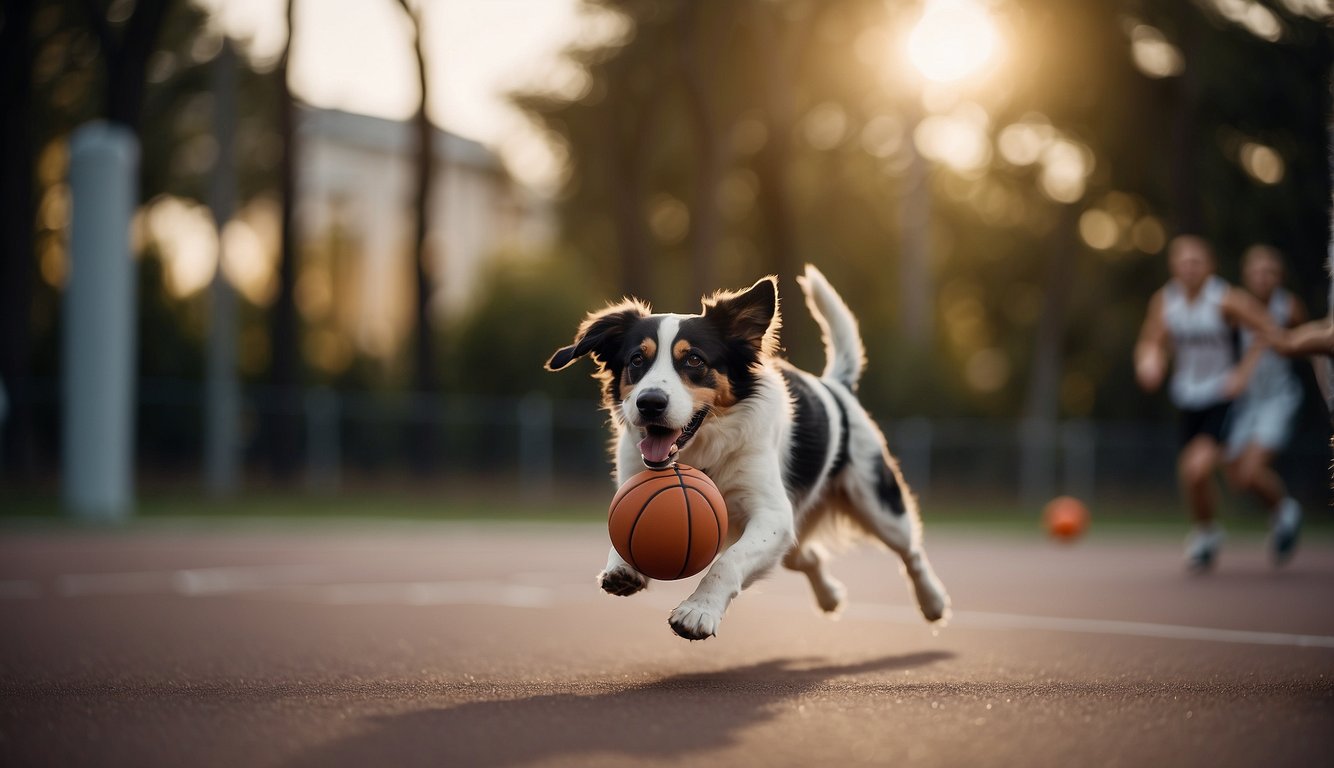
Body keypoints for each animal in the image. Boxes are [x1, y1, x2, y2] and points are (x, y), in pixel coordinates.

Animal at [541, 266, 949, 640]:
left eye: (694, 360)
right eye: (636, 360)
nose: (649, 403)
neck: (700, 454)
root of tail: (836, 387)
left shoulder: (773, 514)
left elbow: (728, 561)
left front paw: (698, 611)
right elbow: (619, 532)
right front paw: (623, 568)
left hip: (878, 504)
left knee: (911, 553)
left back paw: (933, 603)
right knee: (808, 555)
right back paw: (830, 597)